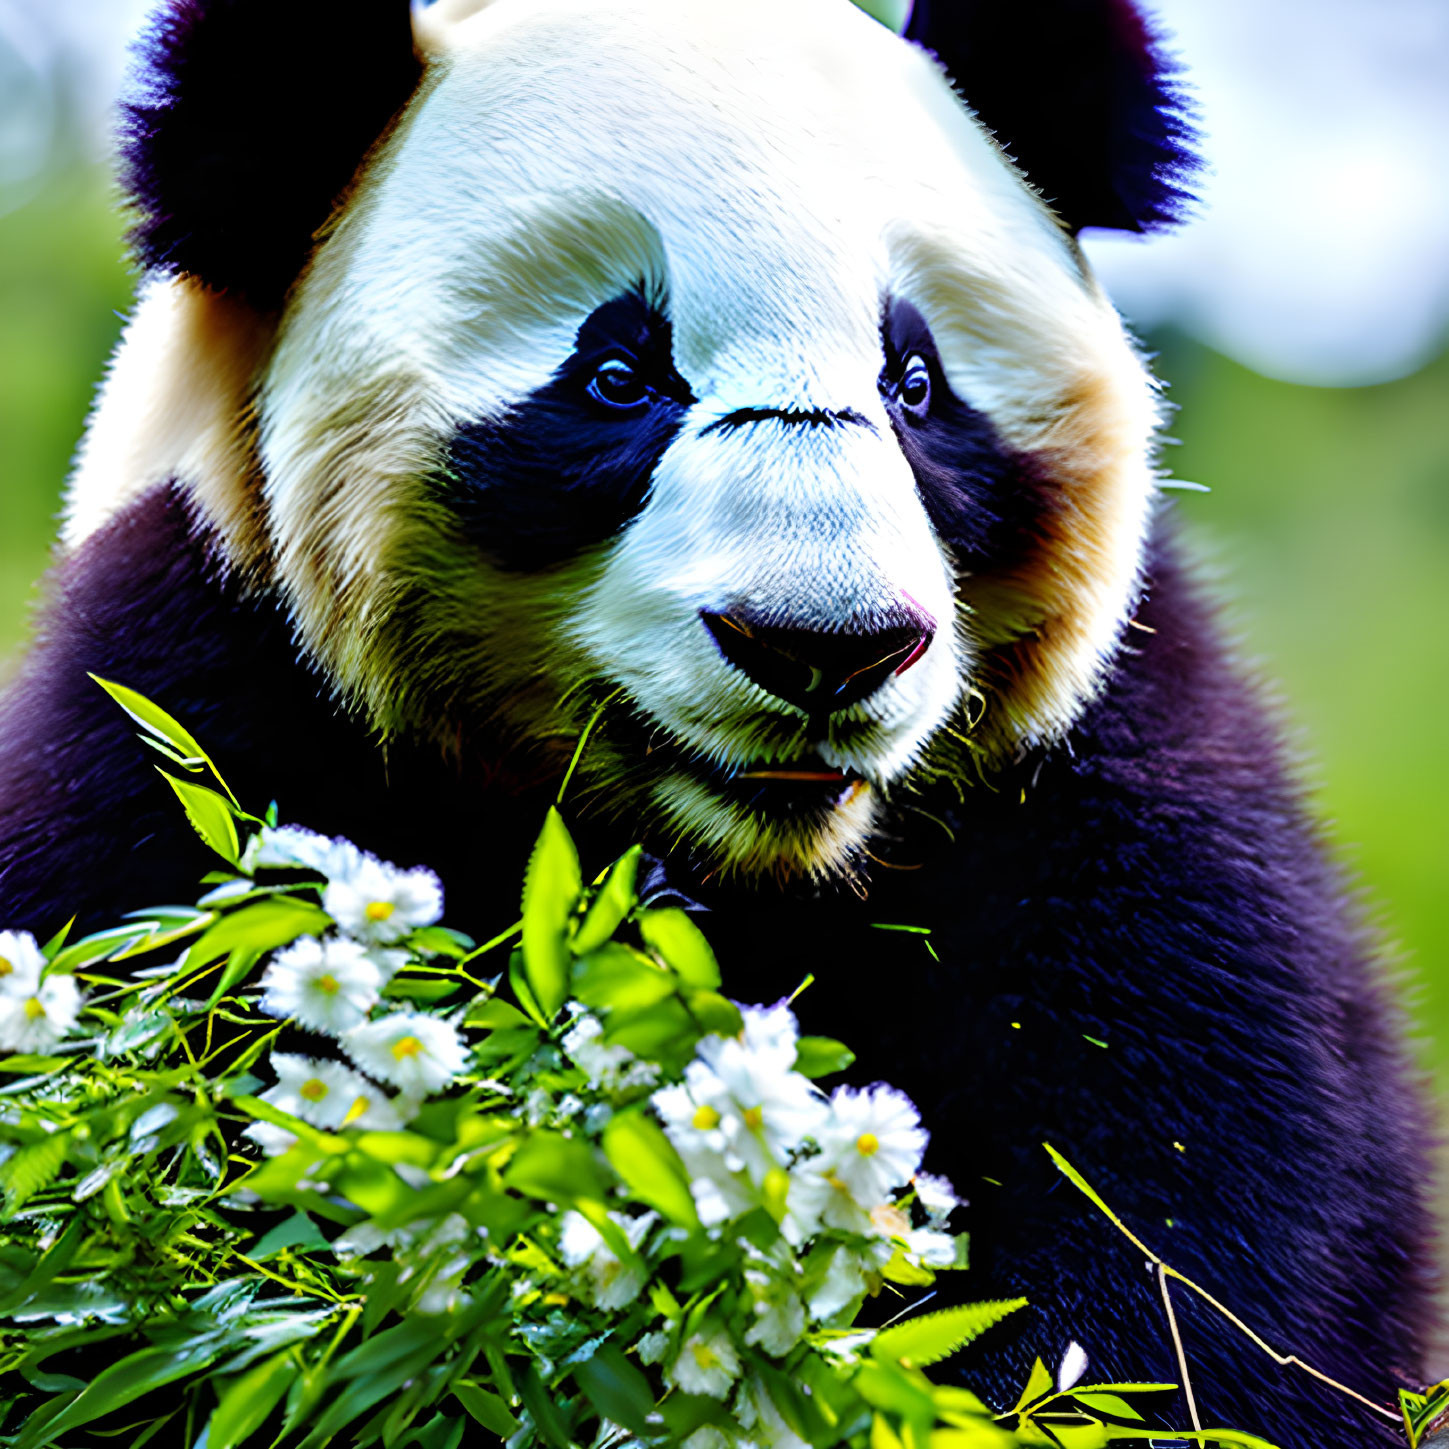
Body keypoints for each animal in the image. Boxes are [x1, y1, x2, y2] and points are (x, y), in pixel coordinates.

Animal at [0, 0, 1431, 1443]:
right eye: (616, 375)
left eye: (916, 383)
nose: (824, 645)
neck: (737, 865)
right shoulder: (192, 719)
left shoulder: (1093, 780)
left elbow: (1193, 1224)